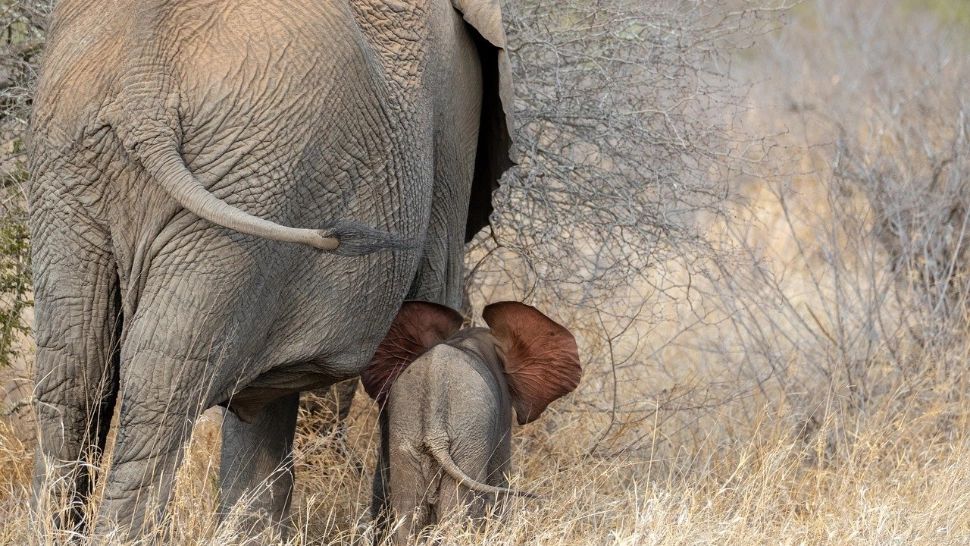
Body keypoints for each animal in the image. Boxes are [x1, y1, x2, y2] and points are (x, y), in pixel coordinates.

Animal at [27, 0, 513, 537]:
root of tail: (143, 89)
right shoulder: (455, 110)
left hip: (79, 165)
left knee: (75, 373)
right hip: (253, 181)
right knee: (160, 389)